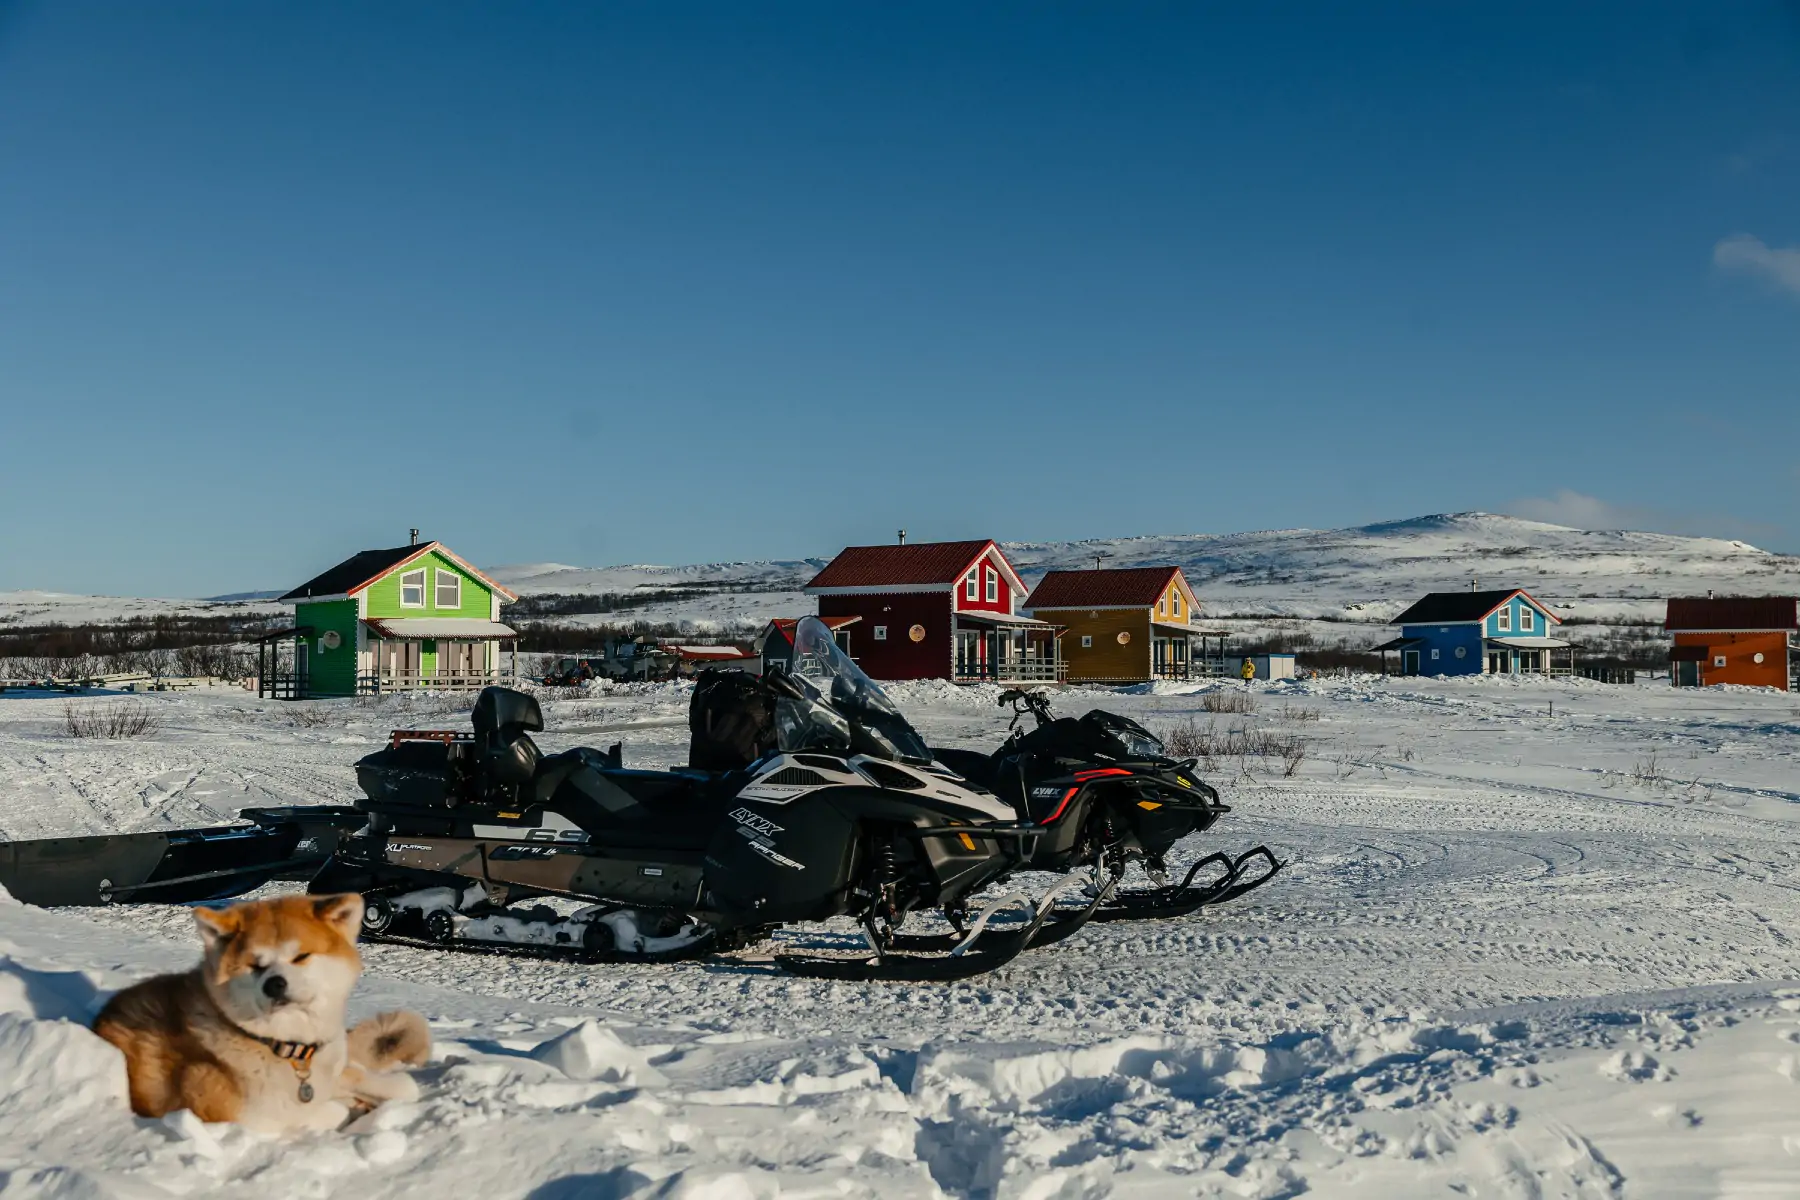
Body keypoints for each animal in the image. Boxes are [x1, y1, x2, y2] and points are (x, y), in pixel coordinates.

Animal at [96, 892, 433, 1137]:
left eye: (301, 956)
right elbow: (327, 1110)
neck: (285, 1048)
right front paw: (350, 1106)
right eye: (254, 965)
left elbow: (401, 1086)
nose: (275, 984)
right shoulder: (238, 1119)